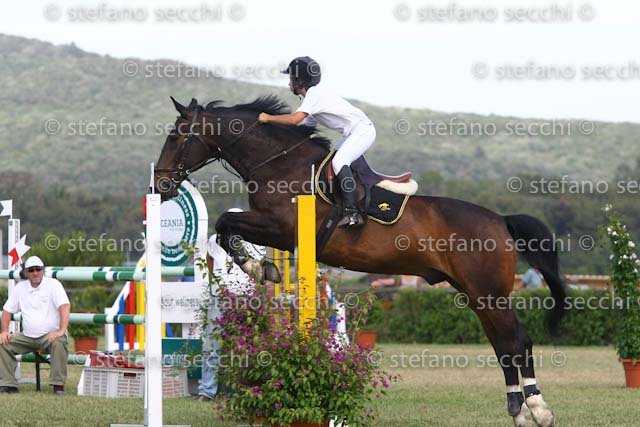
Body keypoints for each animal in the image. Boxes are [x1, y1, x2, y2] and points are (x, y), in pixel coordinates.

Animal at [155, 95, 568, 427]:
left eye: (176, 135)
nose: (160, 185)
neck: (280, 165)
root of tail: (501, 220)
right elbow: (227, 227)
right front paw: (261, 267)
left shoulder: (281, 230)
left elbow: (226, 222)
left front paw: (259, 267)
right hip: (476, 294)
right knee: (503, 344)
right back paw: (517, 410)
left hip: (488, 293)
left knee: (517, 340)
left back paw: (539, 409)